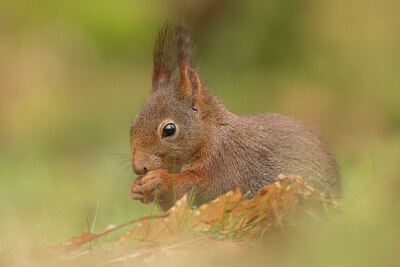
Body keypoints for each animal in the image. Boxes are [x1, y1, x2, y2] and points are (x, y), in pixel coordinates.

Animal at [130, 21, 340, 213]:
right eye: (132, 125)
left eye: (169, 130)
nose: (139, 168)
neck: (212, 136)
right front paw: (136, 188)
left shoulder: (227, 164)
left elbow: (202, 189)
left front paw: (159, 180)